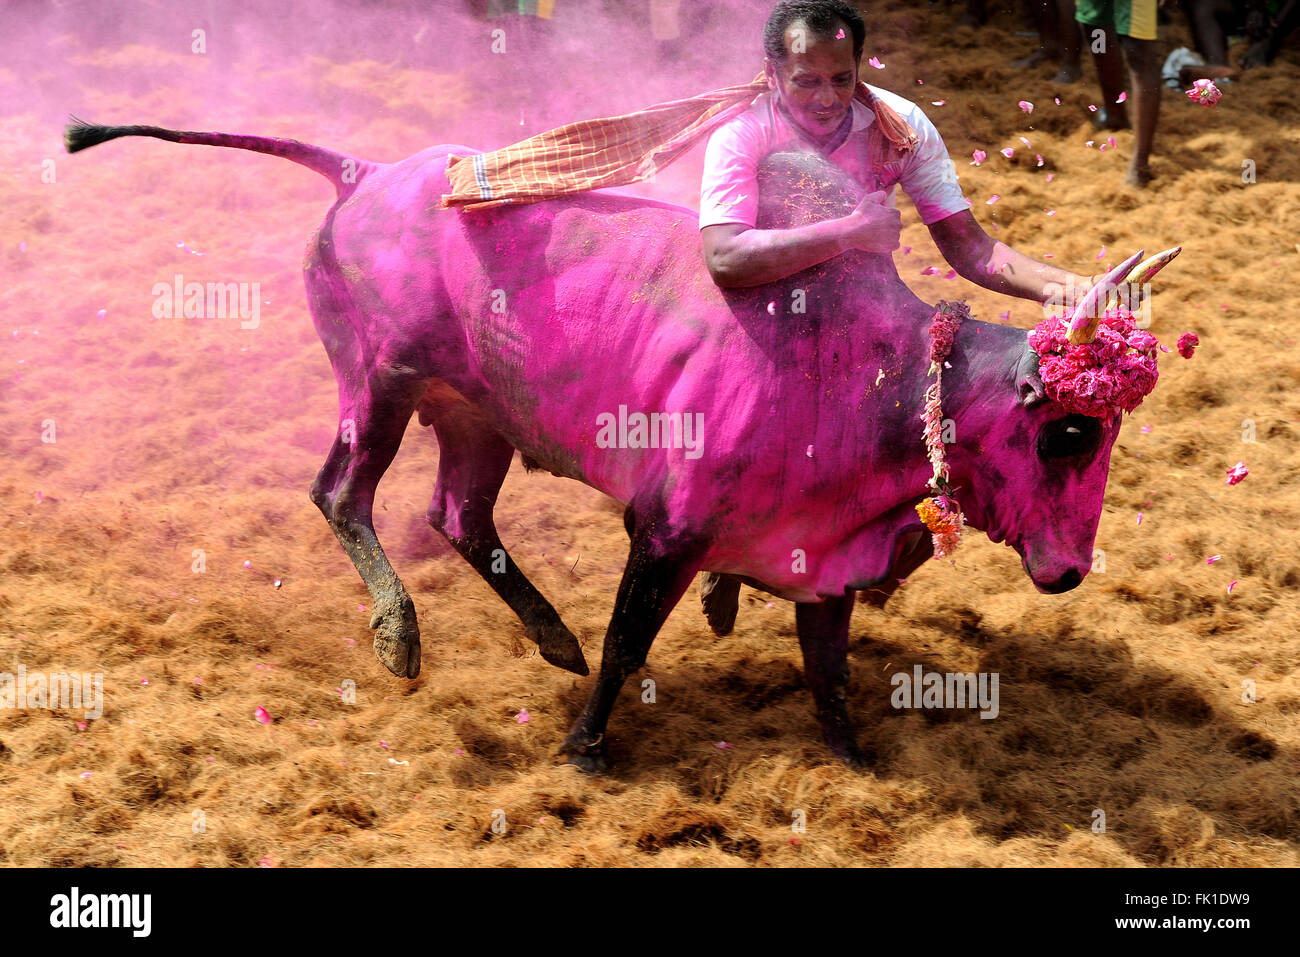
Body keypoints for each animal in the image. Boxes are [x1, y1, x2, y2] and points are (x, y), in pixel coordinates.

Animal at [66, 120, 1126, 771]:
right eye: (1068, 431)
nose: (1073, 568)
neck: (870, 371)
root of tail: (371, 174)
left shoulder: (820, 555)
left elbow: (826, 666)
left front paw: (851, 751)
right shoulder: (665, 529)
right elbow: (629, 639)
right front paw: (585, 748)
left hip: (476, 417)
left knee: (457, 514)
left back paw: (547, 634)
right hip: (378, 383)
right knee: (341, 494)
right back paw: (401, 632)